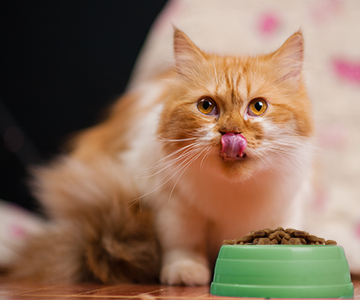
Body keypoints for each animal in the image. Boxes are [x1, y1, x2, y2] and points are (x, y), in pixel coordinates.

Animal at [7, 28, 314, 286]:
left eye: (258, 107)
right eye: (206, 106)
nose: (230, 132)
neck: (235, 192)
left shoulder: (286, 206)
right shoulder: (173, 205)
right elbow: (182, 243)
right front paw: (186, 272)